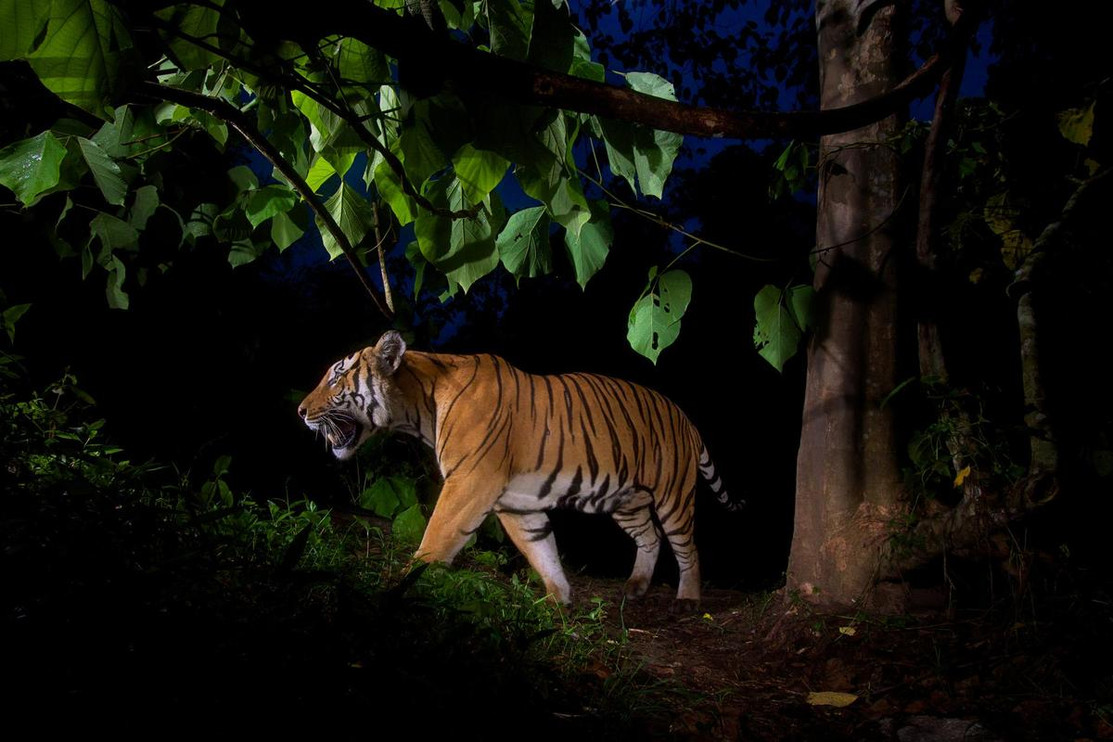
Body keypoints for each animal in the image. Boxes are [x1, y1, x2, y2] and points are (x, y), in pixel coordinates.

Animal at [297, 330, 741, 605]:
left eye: (336, 377)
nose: (300, 411)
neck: (418, 406)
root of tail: (685, 417)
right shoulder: (516, 502)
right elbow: (541, 549)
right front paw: (559, 599)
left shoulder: (469, 483)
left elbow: (437, 536)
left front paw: (401, 584)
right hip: (624, 499)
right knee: (649, 537)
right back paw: (635, 588)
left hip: (672, 495)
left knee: (687, 547)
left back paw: (688, 598)